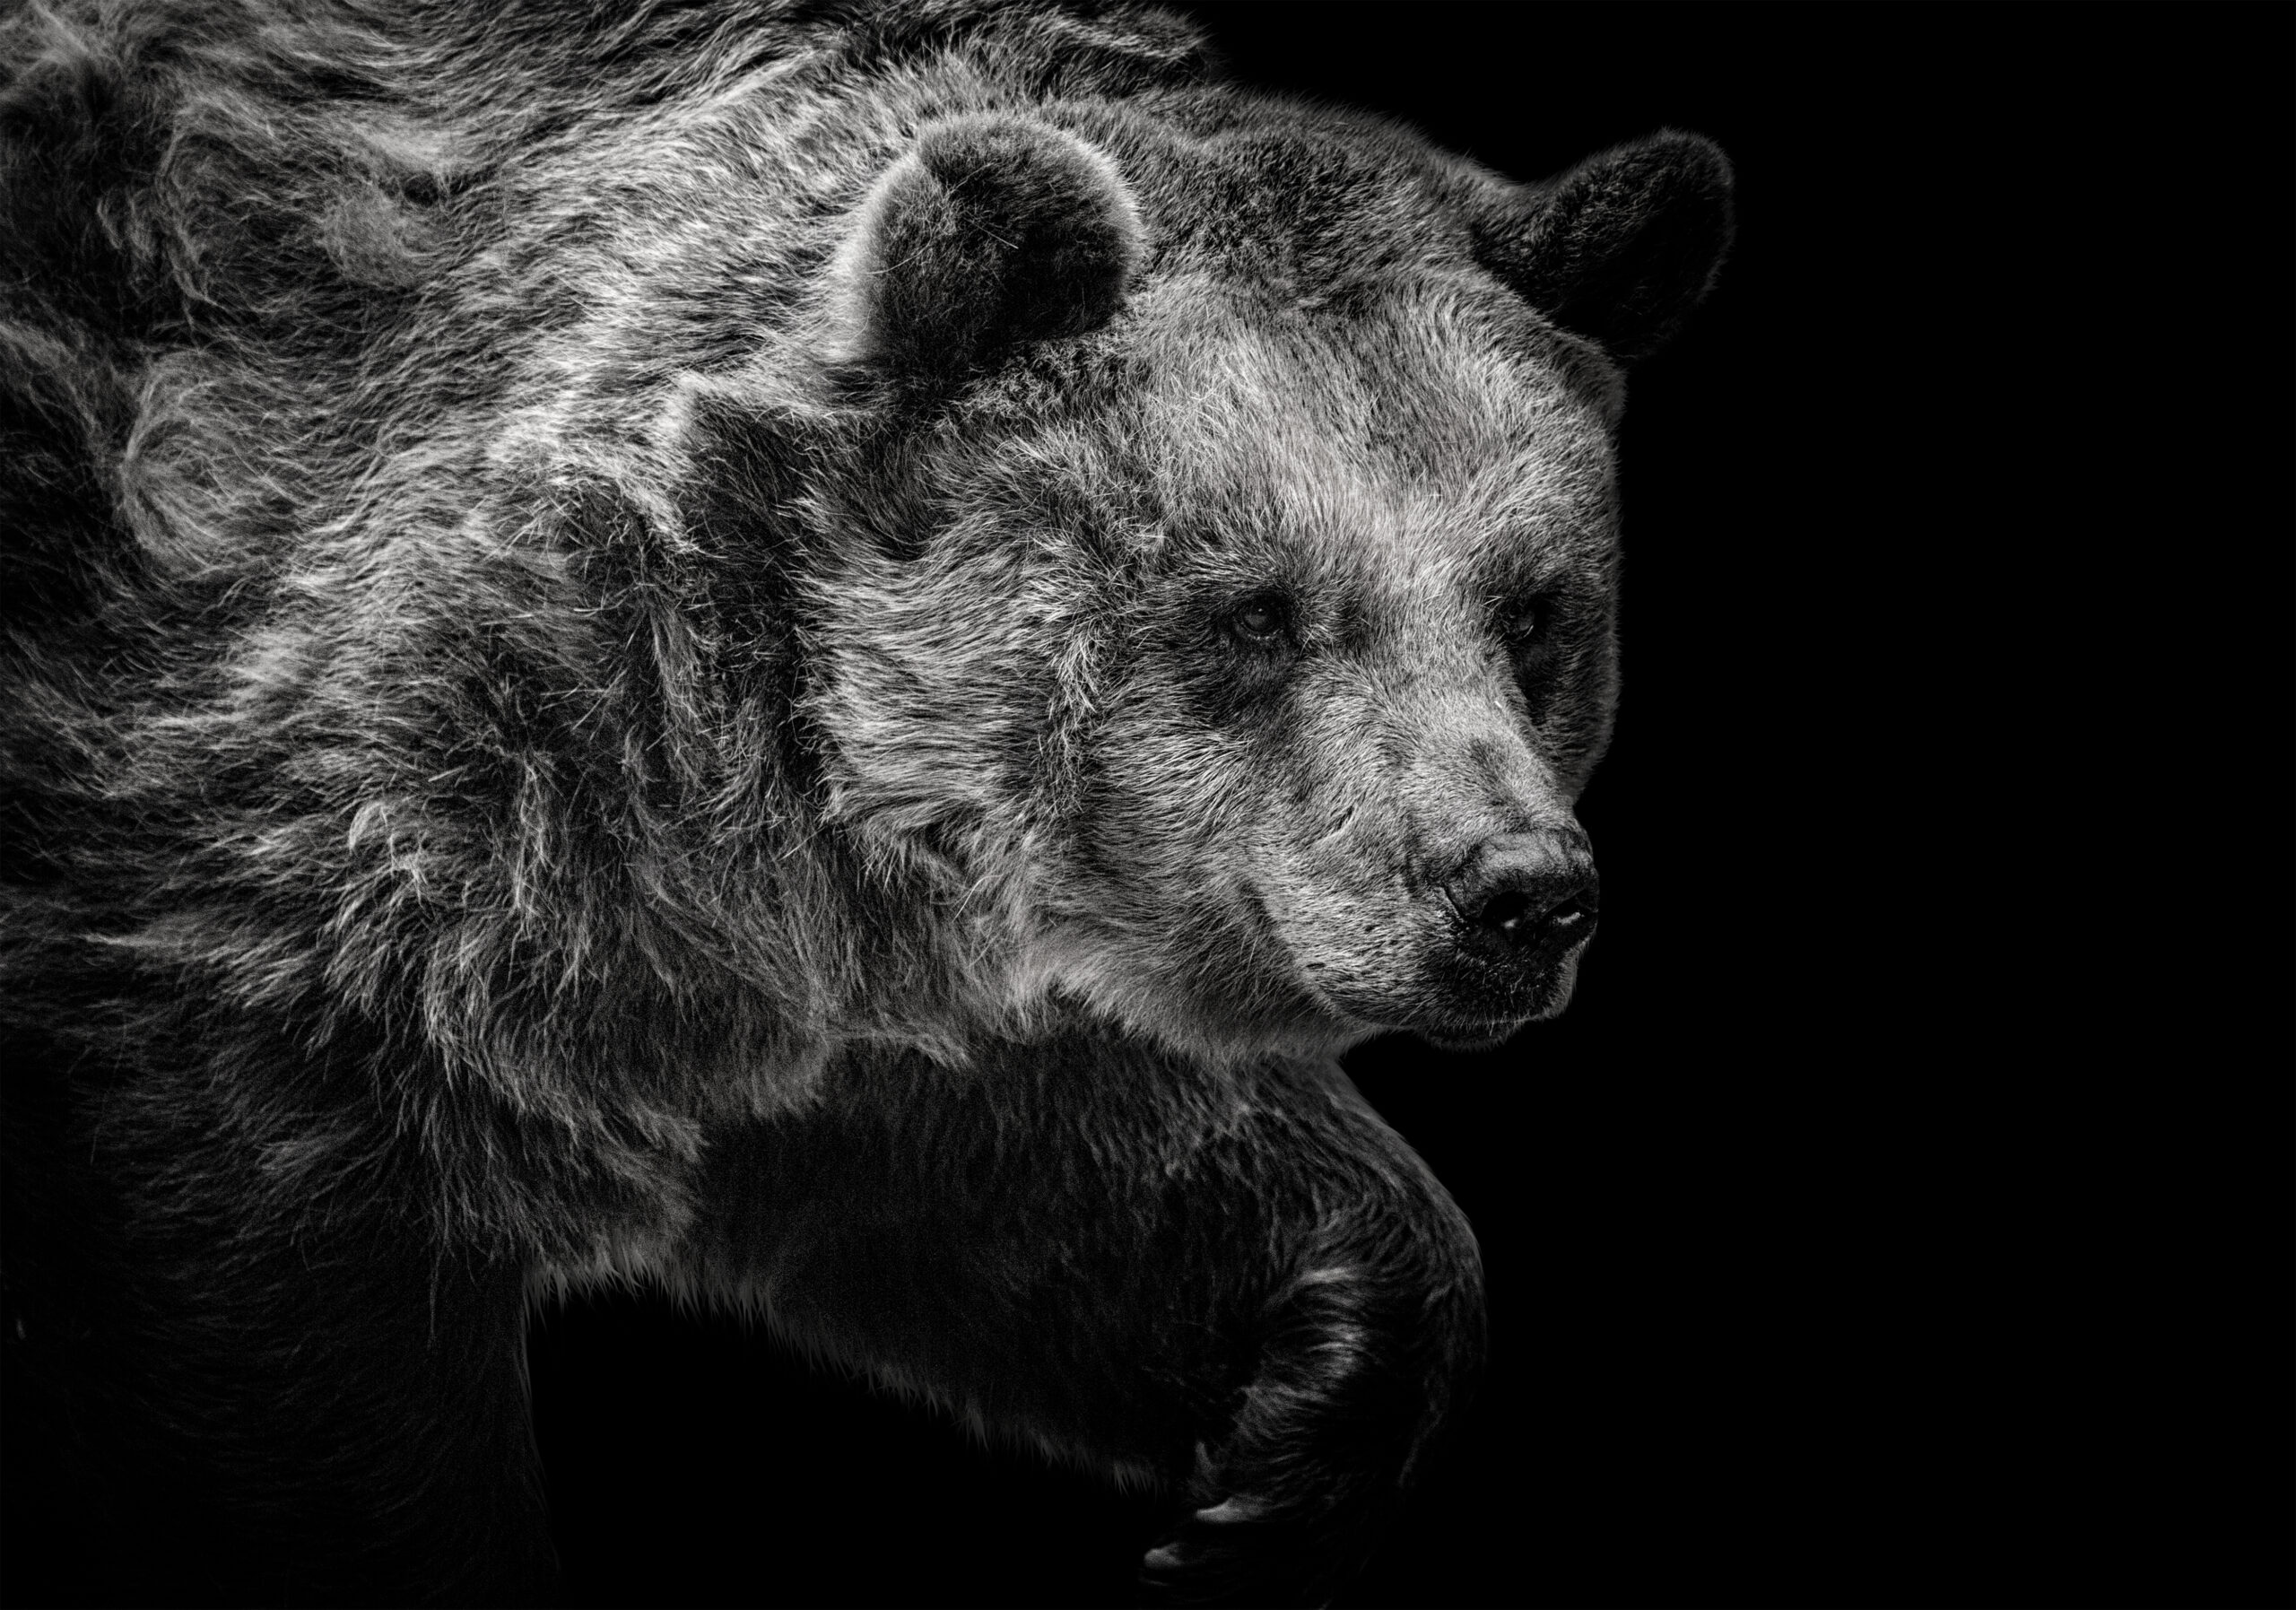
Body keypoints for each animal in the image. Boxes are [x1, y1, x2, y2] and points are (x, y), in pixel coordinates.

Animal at [0, 1, 1732, 1603]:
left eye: (1536, 609)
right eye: (1254, 610)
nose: (1512, 892)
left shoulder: (801, 979)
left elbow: (1019, 1168)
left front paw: (1298, 1433)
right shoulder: (308, 862)